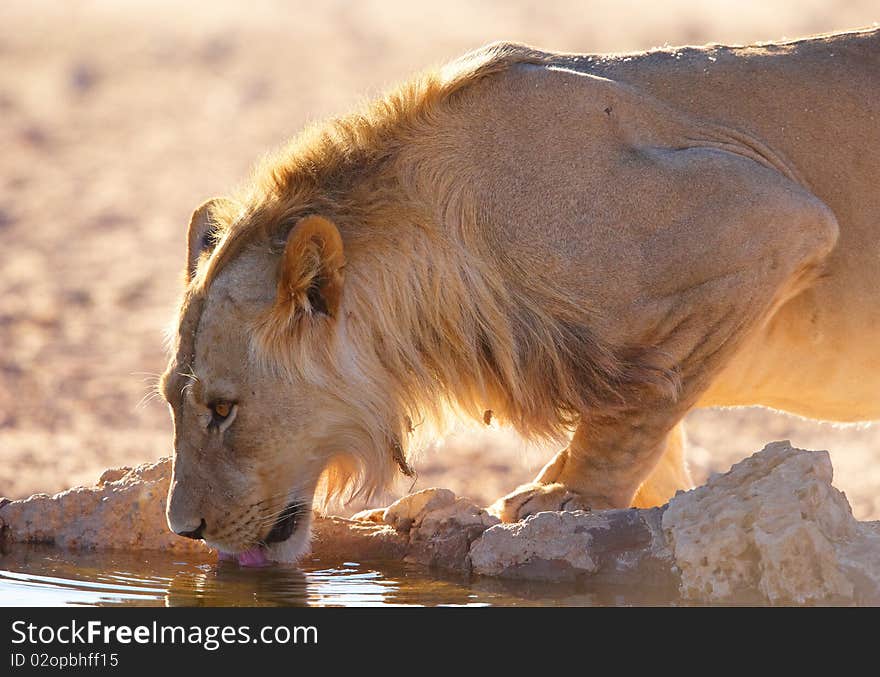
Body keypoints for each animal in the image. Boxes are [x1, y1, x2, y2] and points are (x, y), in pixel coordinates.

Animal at [162, 29, 876, 564]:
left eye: (222, 409)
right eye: (173, 399)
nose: (184, 530)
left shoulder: (774, 219)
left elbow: (634, 409)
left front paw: (563, 500)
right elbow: (655, 435)